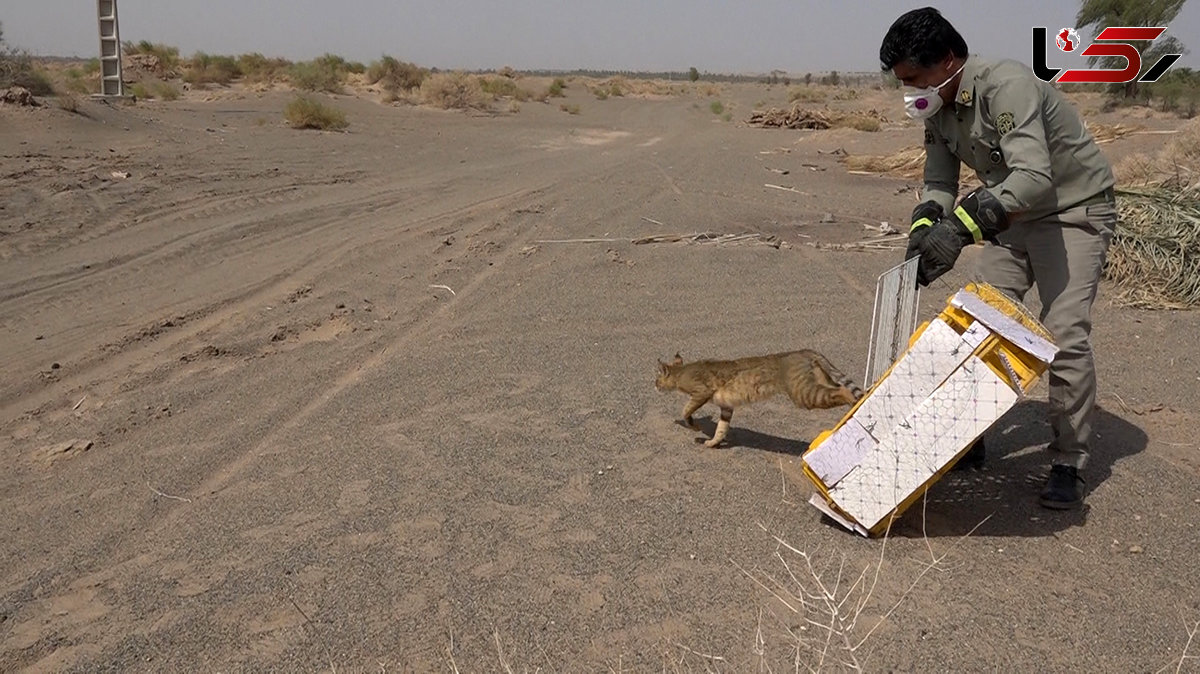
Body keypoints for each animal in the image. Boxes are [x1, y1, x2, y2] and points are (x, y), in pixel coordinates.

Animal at [657, 345, 864, 446]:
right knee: (838, 386)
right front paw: (712, 443)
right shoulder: (726, 407)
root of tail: (802, 352)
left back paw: (853, 401)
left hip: (805, 394)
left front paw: (694, 426)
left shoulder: (701, 392)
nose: (654, 385)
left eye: (656, 379)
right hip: (818, 381)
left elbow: (686, 411)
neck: (681, 372)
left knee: (842, 390)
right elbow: (721, 429)